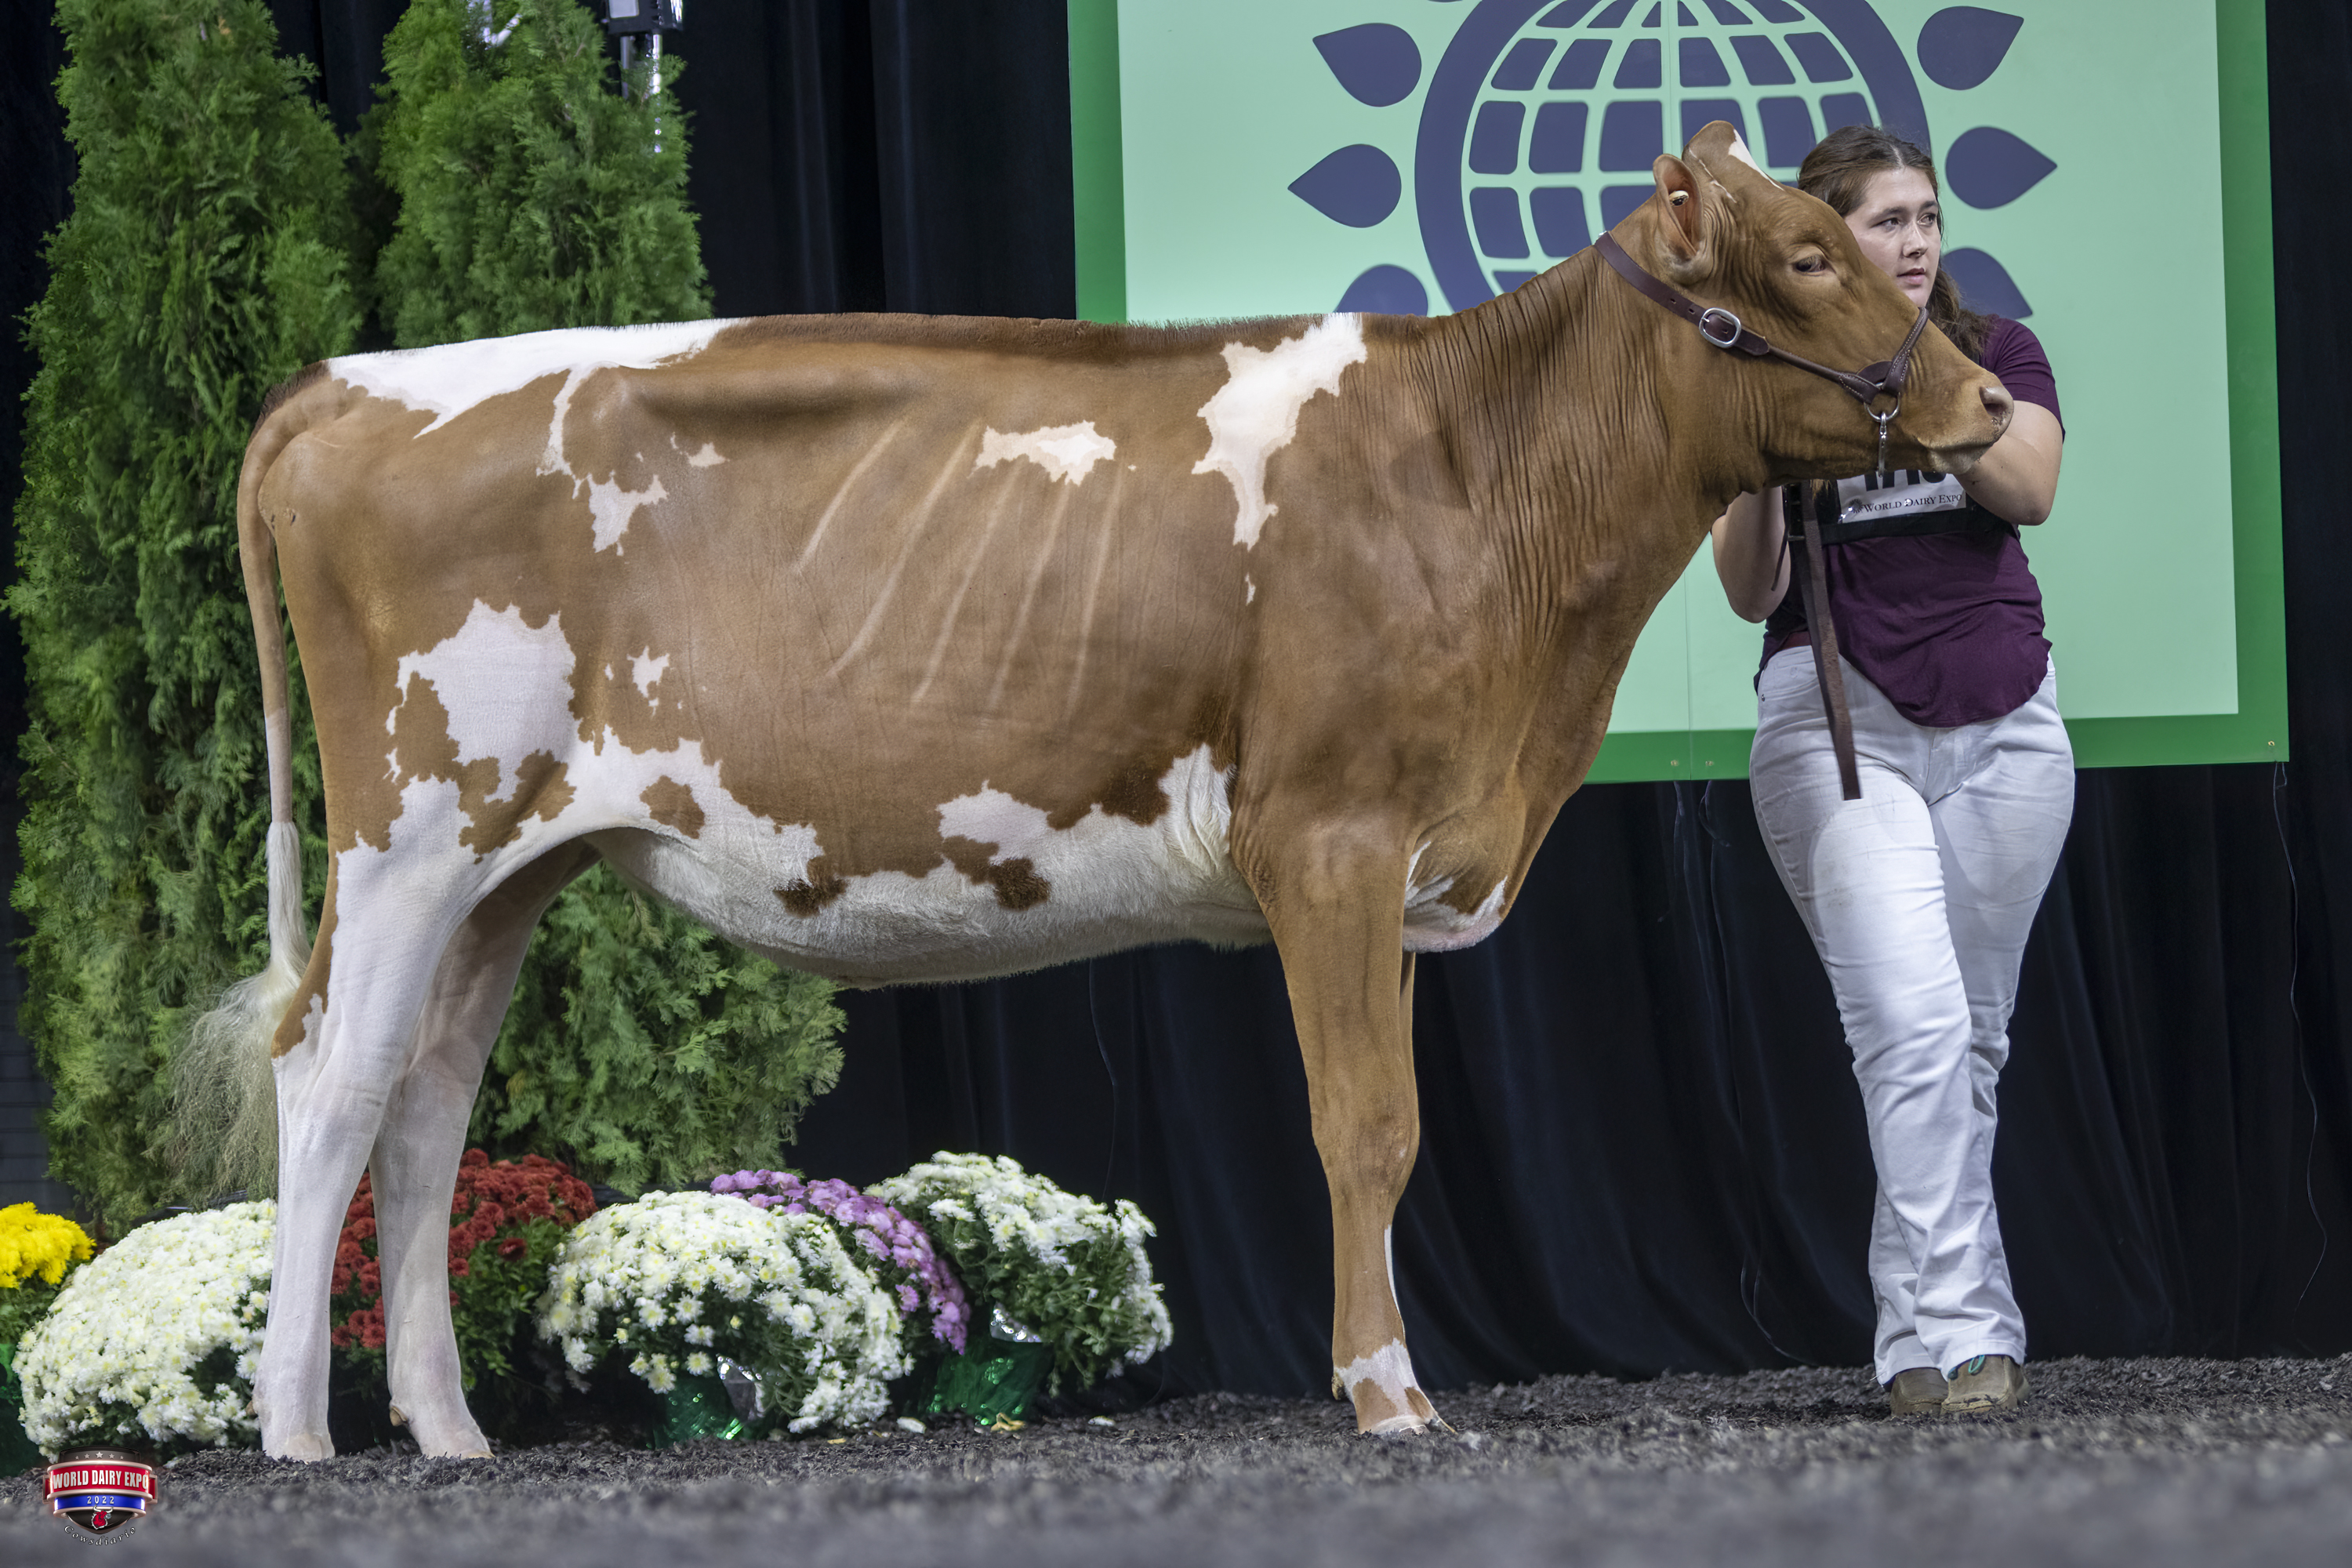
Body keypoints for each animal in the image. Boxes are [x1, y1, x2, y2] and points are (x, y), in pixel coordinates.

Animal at [190, 123, 2010, 1459]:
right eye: (1808, 256)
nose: (1988, 397)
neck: (1473, 481)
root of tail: (346, 383)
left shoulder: (1411, 853)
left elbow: (1395, 1126)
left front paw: (1391, 1376)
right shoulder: (1329, 836)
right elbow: (1362, 1127)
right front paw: (1385, 1394)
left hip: (508, 865)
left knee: (427, 1108)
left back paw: (446, 1429)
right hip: (415, 830)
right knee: (333, 1085)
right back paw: (296, 1431)